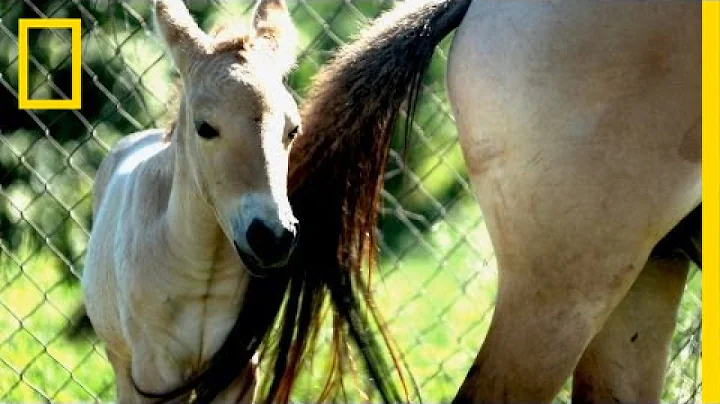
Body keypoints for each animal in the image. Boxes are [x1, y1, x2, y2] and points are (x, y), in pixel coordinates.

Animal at [82, 0, 300, 400]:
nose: (272, 238)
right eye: (205, 128)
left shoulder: (238, 369)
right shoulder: (155, 375)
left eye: (293, 130)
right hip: (121, 362)